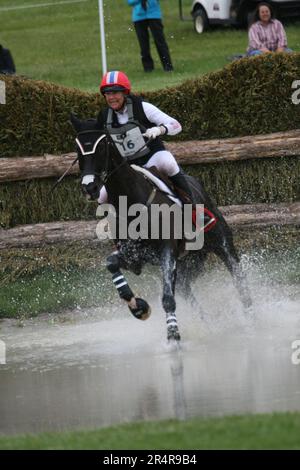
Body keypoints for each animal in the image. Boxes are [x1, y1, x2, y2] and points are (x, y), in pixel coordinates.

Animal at [69, 114, 251, 342]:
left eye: (102, 146)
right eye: (77, 148)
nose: (90, 187)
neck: (131, 203)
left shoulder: (167, 250)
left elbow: (167, 298)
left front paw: (173, 335)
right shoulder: (134, 257)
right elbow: (112, 264)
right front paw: (138, 307)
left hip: (222, 244)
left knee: (238, 278)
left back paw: (251, 318)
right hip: (188, 262)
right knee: (186, 290)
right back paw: (209, 325)